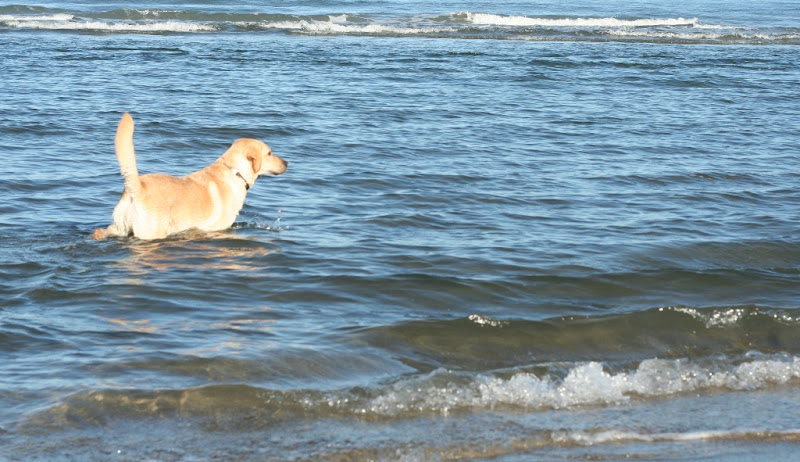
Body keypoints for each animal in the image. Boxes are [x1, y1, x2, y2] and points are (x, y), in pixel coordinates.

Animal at [93, 113, 290, 240]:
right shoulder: (217, 228)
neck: (235, 171)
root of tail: (137, 188)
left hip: (118, 227)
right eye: (270, 153)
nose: (287, 162)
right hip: (151, 232)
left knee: (99, 232)